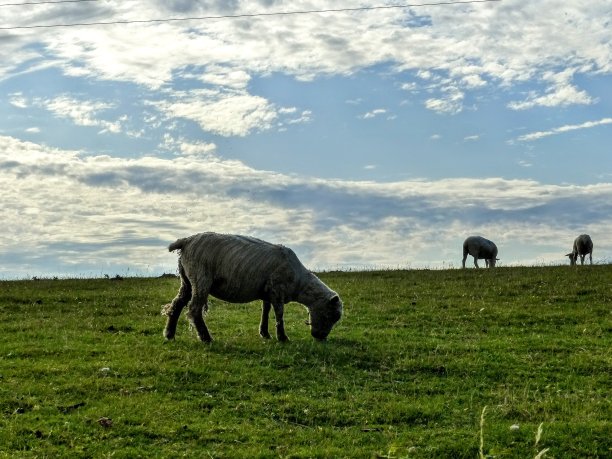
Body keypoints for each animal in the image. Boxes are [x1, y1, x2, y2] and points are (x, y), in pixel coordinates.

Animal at [163, 232, 344, 344]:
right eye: (331, 315)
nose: (320, 337)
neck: (299, 283)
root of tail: (186, 241)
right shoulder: (277, 289)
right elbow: (279, 314)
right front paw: (282, 337)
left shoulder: (267, 292)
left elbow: (266, 311)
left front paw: (265, 333)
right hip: (201, 278)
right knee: (194, 309)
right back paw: (206, 338)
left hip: (187, 280)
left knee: (177, 304)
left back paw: (169, 334)